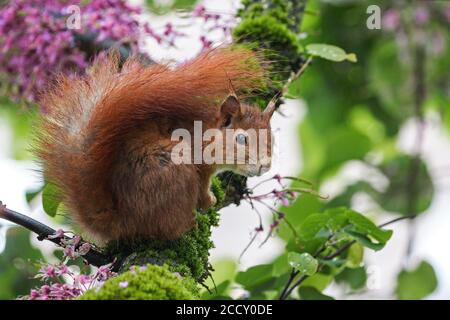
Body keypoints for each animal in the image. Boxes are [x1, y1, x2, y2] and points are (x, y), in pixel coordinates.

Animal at [35, 47, 274, 241]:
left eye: (272, 138)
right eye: (242, 139)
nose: (265, 165)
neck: (206, 132)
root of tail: (124, 219)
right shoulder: (200, 163)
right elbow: (203, 188)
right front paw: (208, 201)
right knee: (169, 229)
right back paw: (188, 224)